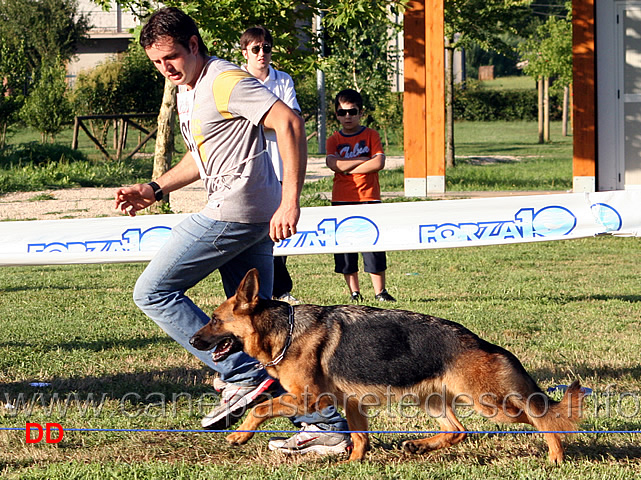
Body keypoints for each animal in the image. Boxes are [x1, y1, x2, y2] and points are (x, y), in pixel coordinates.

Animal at [189, 270, 580, 462]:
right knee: (459, 431)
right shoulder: (351, 403)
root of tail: (482, 343)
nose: (192, 340)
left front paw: (240, 434)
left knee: (541, 417)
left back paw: (556, 457)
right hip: (433, 401)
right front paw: (353, 464)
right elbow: (360, 437)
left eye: (214, 319)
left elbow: (260, 409)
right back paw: (420, 447)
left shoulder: (309, 399)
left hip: (493, 406)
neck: (284, 331)